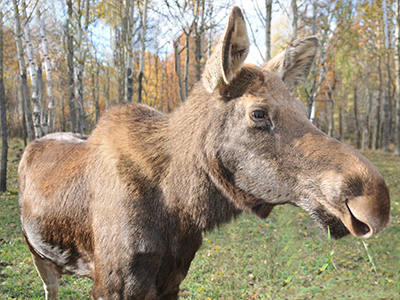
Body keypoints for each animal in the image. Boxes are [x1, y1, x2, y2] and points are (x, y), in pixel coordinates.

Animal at [18, 7, 390, 300]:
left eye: (302, 108)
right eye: (259, 113)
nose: (376, 201)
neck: (181, 208)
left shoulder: (171, 281)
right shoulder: (112, 286)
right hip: (38, 253)